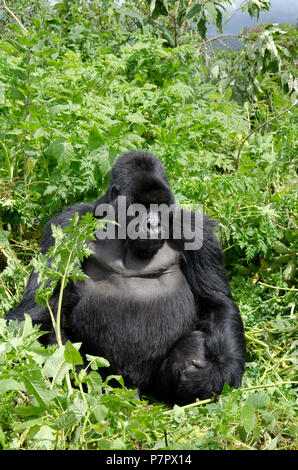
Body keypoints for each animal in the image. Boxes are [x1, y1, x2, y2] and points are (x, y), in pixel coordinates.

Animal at [6, 150, 244, 404]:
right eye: (141, 207)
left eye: (160, 207)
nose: (153, 224)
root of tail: (133, 390)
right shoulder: (68, 225)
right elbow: (41, 303)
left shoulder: (195, 230)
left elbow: (216, 303)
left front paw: (215, 374)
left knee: (197, 341)